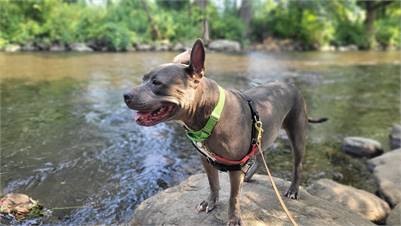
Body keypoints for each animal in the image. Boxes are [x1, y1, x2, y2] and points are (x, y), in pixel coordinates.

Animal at [123, 39, 326, 225]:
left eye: (157, 83)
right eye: (143, 79)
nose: (125, 95)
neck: (212, 115)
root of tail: (291, 86)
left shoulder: (235, 168)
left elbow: (233, 196)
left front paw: (234, 218)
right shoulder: (206, 160)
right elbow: (213, 184)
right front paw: (211, 202)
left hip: (297, 136)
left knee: (297, 165)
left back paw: (293, 189)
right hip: (261, 138)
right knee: (260, 158)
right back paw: (249, 176)